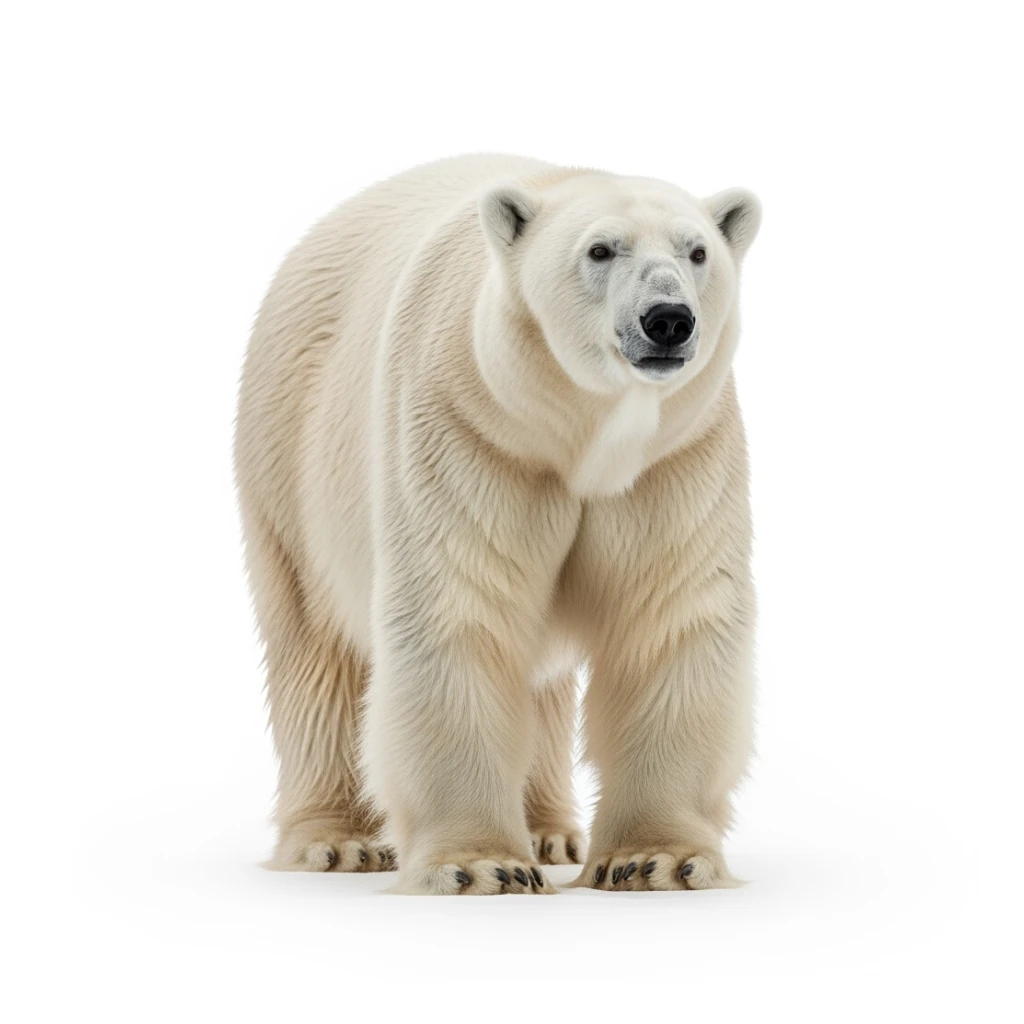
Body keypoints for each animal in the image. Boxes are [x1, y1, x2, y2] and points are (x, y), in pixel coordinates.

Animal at [234, 154, 761, 894]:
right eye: (601, 250)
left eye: (698, 252)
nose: (668, 320)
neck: (579, 438)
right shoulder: (467, 430)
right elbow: (458, 611)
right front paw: (481, 864)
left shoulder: (676, 456)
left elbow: (666, 617)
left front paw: (657, 859)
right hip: (290, 447)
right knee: (318, 644)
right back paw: (338, 841)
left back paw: (550, 832)